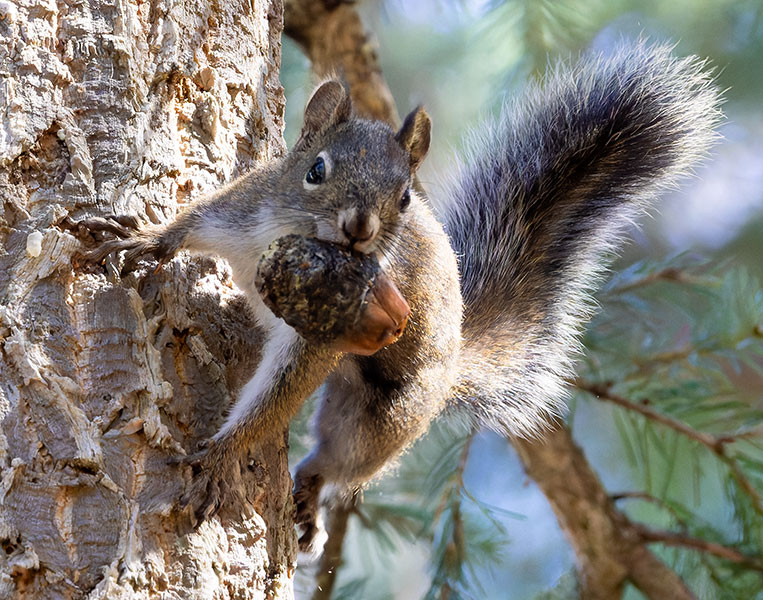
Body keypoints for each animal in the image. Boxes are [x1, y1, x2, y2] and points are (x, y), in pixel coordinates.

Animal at [82, 41, 720, 551]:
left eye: (406, 197)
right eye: (315, 169)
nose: (360, 228)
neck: (289, 238)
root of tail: (456, 359)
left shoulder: (324, 335)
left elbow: (276, 398)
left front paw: (221, 458)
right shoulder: (243, 207)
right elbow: (193, 221)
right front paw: (144, 240)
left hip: (385, 414)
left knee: (340, 458)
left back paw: (311, 492)